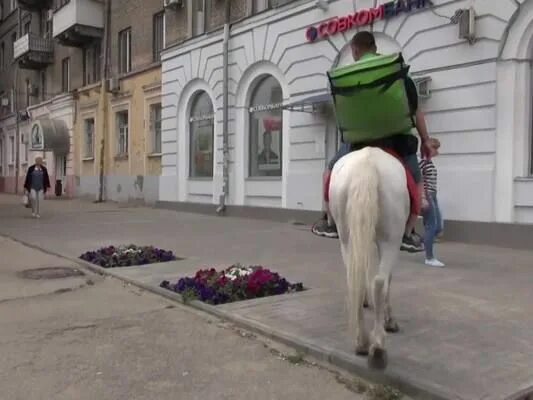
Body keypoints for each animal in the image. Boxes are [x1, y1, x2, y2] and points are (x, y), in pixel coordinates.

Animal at [328, 146, 408, 368]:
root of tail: (367, 163)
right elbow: (386, 280)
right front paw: (389, 320)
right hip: (391, 240)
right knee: (380, 283)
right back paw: (377, 345)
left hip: (346, 237)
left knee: (354, 280)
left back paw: (361, 341)